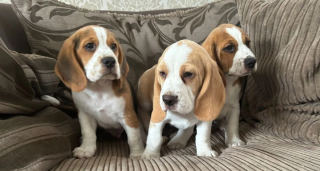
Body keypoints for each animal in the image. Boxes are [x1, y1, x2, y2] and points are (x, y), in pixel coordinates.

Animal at [55, 25, 144, 159]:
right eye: (89, 45)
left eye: (113, 46)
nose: (110, 61)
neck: (99, 88)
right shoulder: (85, 115)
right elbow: (88, 133)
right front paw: (86, 149)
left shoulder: (128, 115)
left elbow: (134, 137)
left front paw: (138, 154)